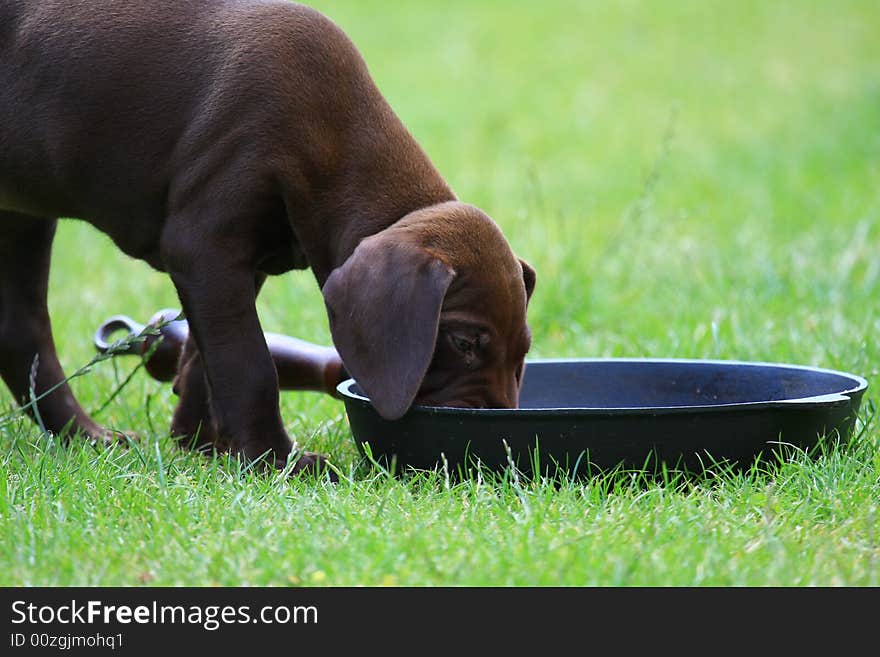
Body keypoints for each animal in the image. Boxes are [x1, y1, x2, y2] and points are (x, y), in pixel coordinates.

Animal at [0, 0, 536, 472]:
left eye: (524, 352)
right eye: (463, 343)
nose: (494, 431)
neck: (330, 145)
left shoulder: (238, 268)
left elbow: (204, 358)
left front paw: (205, 442)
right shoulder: (205, 248)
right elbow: (249, 363)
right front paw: (274, 459)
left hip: (22, 216)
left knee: (23, 334)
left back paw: (85, 436)